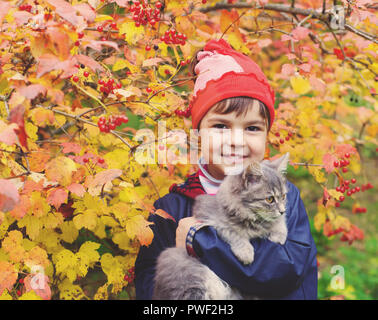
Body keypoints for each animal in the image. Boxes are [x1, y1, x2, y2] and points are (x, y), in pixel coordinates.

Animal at [151, 152, 290, 300]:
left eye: (283, 196)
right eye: (270, 199)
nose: (282, 210)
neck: (251, 217)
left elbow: (280, 223)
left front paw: (278, 237)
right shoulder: (213, 220)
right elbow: (235, 234)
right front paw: (246, 253)